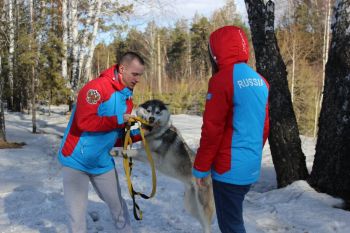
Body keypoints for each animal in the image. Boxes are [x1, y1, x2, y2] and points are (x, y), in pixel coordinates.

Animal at [126, 99, 213, 233]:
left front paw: (119, 151)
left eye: (157, 112)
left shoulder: (155, 158)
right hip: (191, 206)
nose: (151, 118)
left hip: (202, 206)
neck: (157, 133)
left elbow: (134, 152)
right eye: (148, 110)